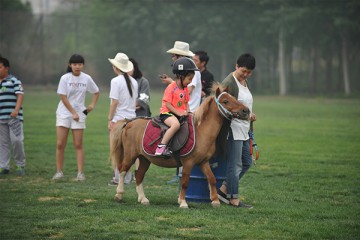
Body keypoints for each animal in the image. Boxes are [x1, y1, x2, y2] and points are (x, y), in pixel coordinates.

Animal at [111, 85, 249, 208]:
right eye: (225, 101)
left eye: (234, 98)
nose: (246, 111)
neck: (201, 130)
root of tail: (129, 122)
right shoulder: (188, 162)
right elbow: (185, 182)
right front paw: (183, 202)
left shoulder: (203, 162)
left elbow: (212, 179)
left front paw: (215, 201)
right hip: (130, 155)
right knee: (122, 170)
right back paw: (119, 194)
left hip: (145, 158)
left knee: (139, 175)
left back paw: (143, 199)